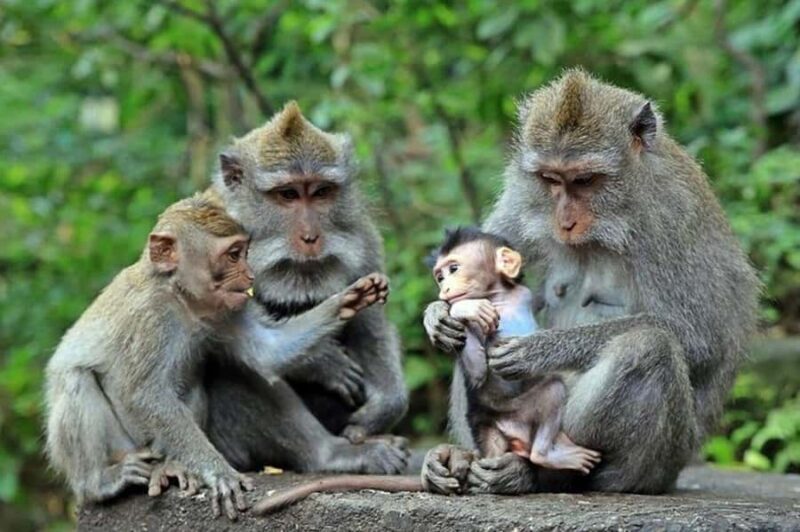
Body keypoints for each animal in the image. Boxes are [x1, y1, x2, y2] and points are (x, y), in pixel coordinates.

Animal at [44, 194, 390, 520]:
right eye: (233, 255)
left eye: (244, 252)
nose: (250, 276)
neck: (181, 298)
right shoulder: (151, 316)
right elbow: (145, 396)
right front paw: (218, 472)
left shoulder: (226, 310)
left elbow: (268, 351)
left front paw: (350, 299)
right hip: (125, 446)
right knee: (77, 380)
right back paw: (98, 482)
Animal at [201, 101, 409, 477]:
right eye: (288, 195)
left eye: (321, 192)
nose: (311, 237)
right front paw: (321, 362)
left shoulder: (365, 238)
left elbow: (370, 325)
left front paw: (384, 408)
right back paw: (333, 456)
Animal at [429, 226, 601, 473]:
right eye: (440, 278)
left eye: (453, 269)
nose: (445, 289)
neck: (500, 298)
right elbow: (478, 372)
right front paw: (465, 308)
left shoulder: (523, 292)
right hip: (510, 415)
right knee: (554, 389)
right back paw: (545, 455)